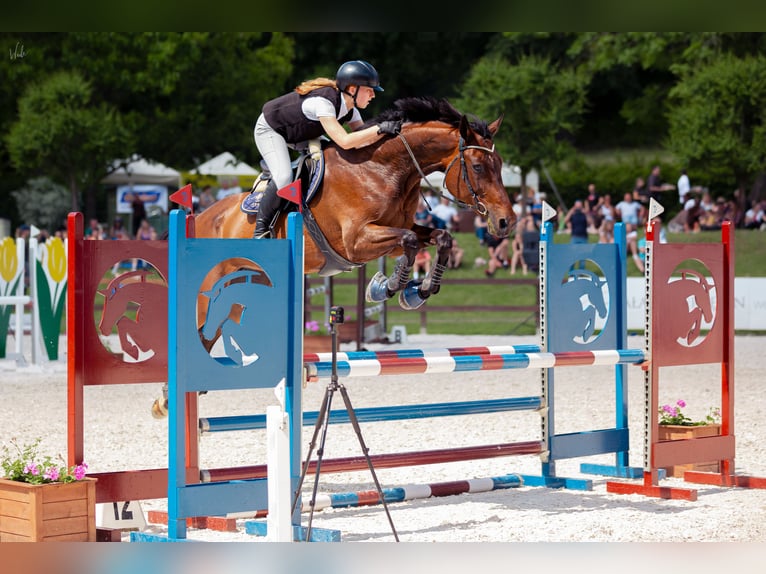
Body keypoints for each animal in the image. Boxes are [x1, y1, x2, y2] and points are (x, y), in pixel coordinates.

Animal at [194, 97, 516, 344]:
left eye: (501, 165)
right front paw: (385, 288)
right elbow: (410, 241)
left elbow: (439, 238)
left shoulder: (396, 233)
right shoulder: (356, 242)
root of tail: (200, 216)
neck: (383, 170)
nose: (507, 222)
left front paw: (419, 290)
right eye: (477, 166)